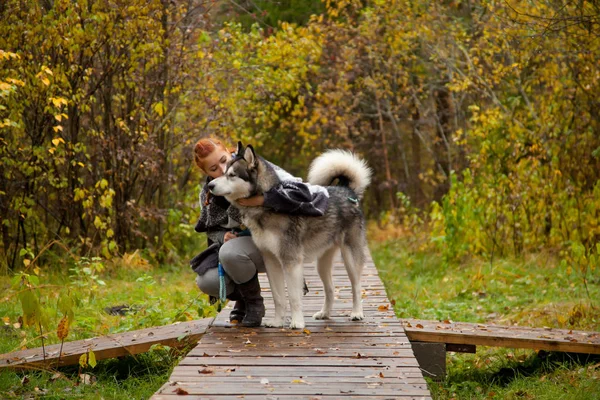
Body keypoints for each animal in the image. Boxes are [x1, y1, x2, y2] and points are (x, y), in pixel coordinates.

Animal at [209, 143, 372, 328]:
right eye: (222, 172)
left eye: (231, 175)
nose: (210, 185)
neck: (266, 207)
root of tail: (346, 190)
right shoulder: (271, 261)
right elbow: (278, 298)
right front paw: (277, 322)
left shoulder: (290, 261)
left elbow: (294, 297)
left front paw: (297, 323)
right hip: (321, 264)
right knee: (329, 289)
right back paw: (325, 313)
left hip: (350, 257)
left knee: (356, 286)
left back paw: (357, 313)